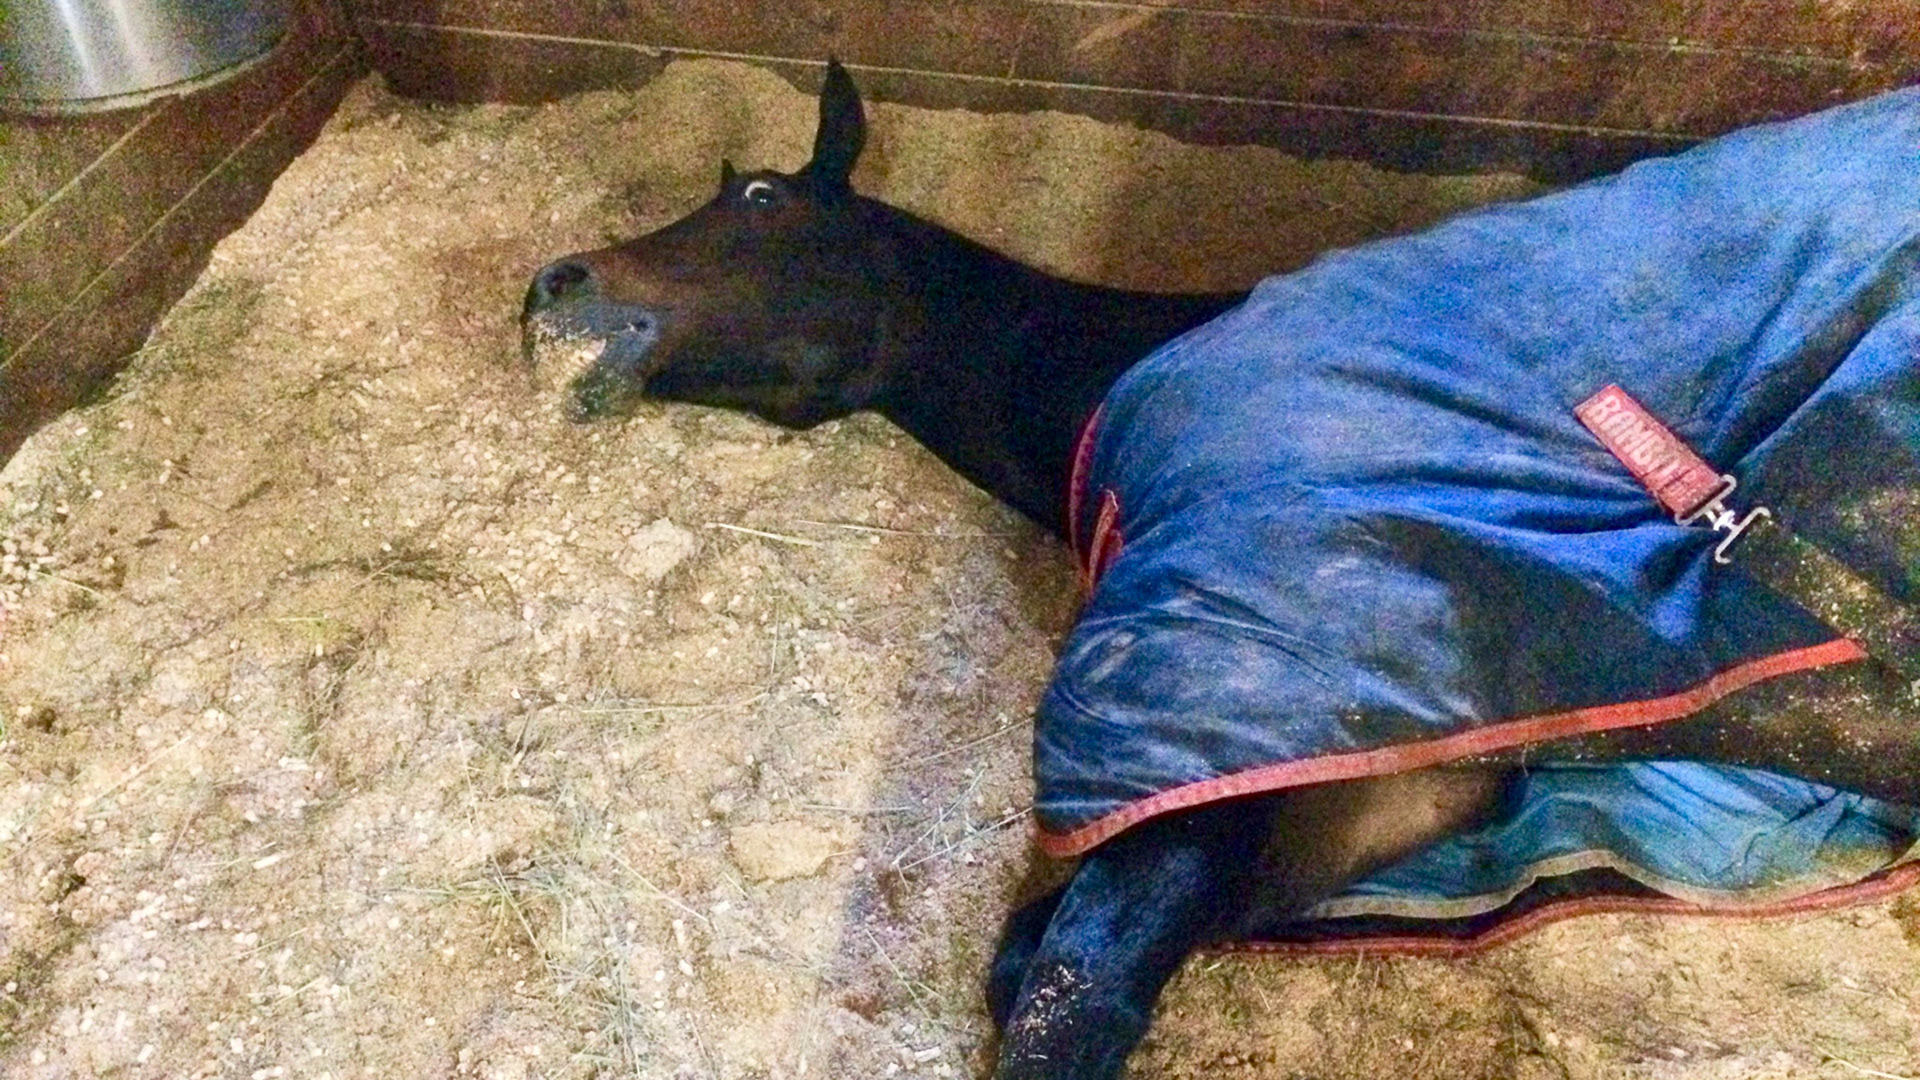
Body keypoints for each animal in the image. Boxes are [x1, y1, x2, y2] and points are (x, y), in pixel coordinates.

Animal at [520, 61, 1920, 1079]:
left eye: (761, 199)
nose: (553, 282)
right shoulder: (1364, 796)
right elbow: (1037, 962)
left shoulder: (1224, 729)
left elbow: (1068, 993)